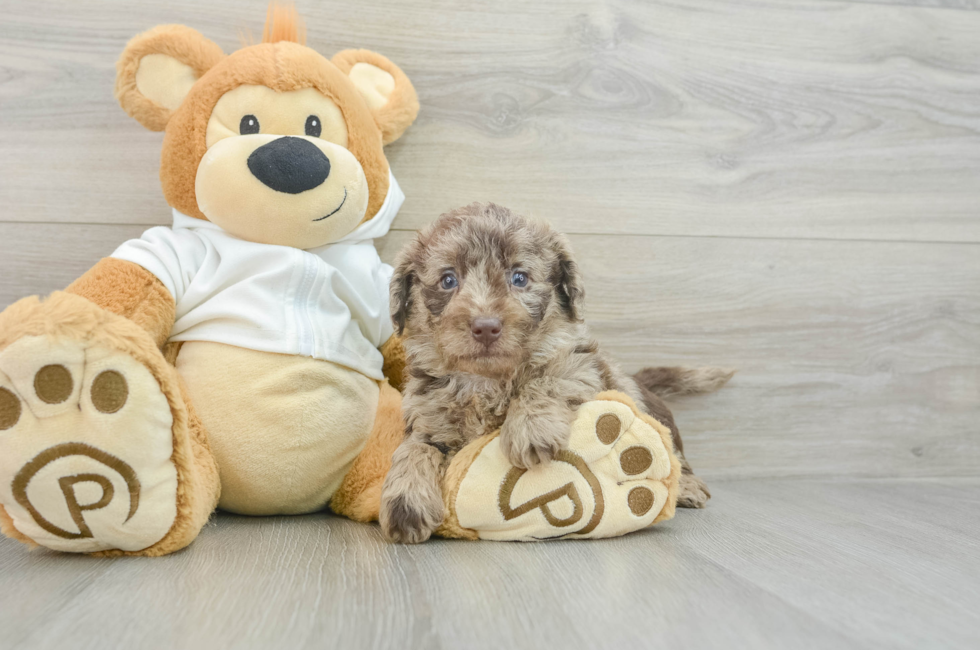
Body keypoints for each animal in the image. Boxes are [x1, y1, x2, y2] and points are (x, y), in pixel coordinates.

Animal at [378, 202, 732, 540]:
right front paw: (406, 502)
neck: (486, 380)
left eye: (519, 278)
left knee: (675, 456)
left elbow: (546, 378)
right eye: (448, 280)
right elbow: (415, 449)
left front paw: (530, 429)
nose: (486, 326)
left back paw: (687, 487)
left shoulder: (581, 366)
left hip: (652, 415)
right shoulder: (427, 418)